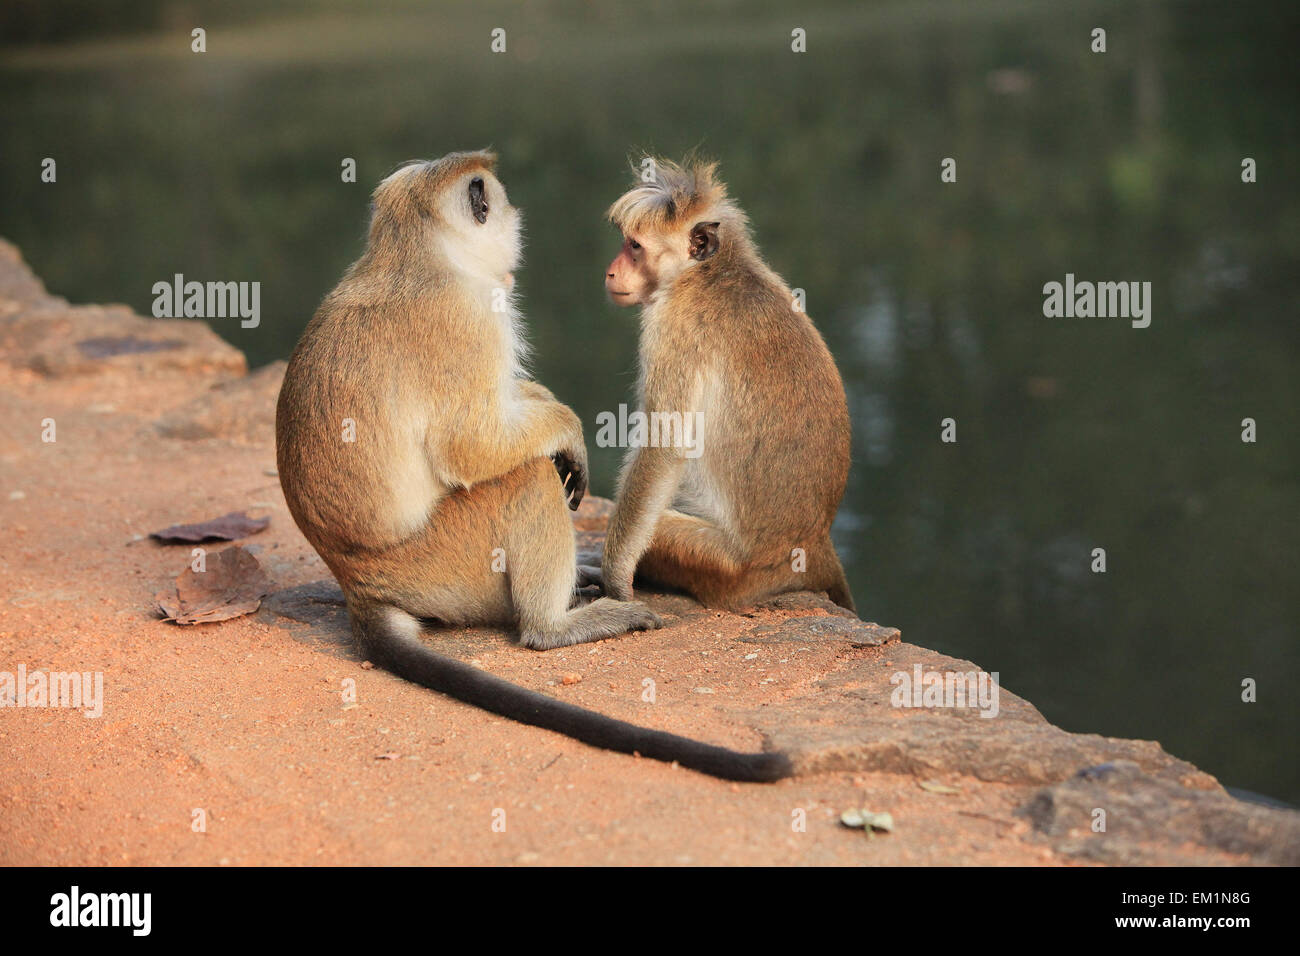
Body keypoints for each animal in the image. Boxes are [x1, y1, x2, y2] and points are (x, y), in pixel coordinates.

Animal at [274, 147, 790, 780]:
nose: (512, 212)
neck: (413, 259)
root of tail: (360, 585)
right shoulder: (467, 318)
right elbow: (472, 447)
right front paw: (566, 429)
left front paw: (550, 413)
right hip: (442, 564)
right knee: (522, 478)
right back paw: (553, 627)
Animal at [600, 158, 863, 613]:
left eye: (634, 246)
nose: (611, 271)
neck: (704, 273)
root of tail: (815, 544)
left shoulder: (674, 326)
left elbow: (665, 445)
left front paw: (614, 578)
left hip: (728, 567)